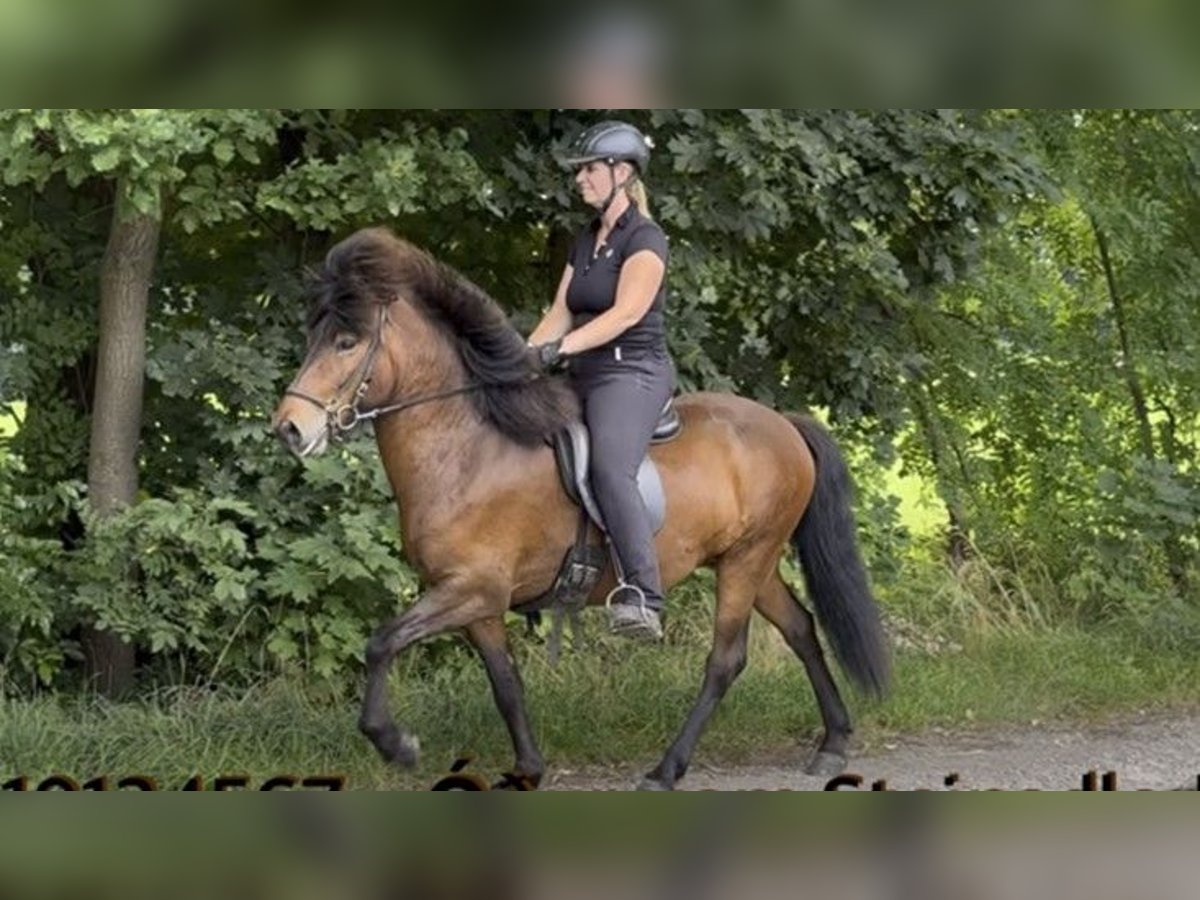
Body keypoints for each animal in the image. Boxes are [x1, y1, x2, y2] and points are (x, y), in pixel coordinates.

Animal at [274, 229, 892, 792]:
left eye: (347, 342)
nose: (289, 428)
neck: (469, 449)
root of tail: (784, 423)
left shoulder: (472, 588)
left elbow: (382, 643)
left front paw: (396, 744)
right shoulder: (477, 603)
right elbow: (506, 683)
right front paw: (528, 768)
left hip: (747, 560)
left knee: (725, 660)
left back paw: (667, 770)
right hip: (751, 561)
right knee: (801, 628)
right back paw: (833, 743)